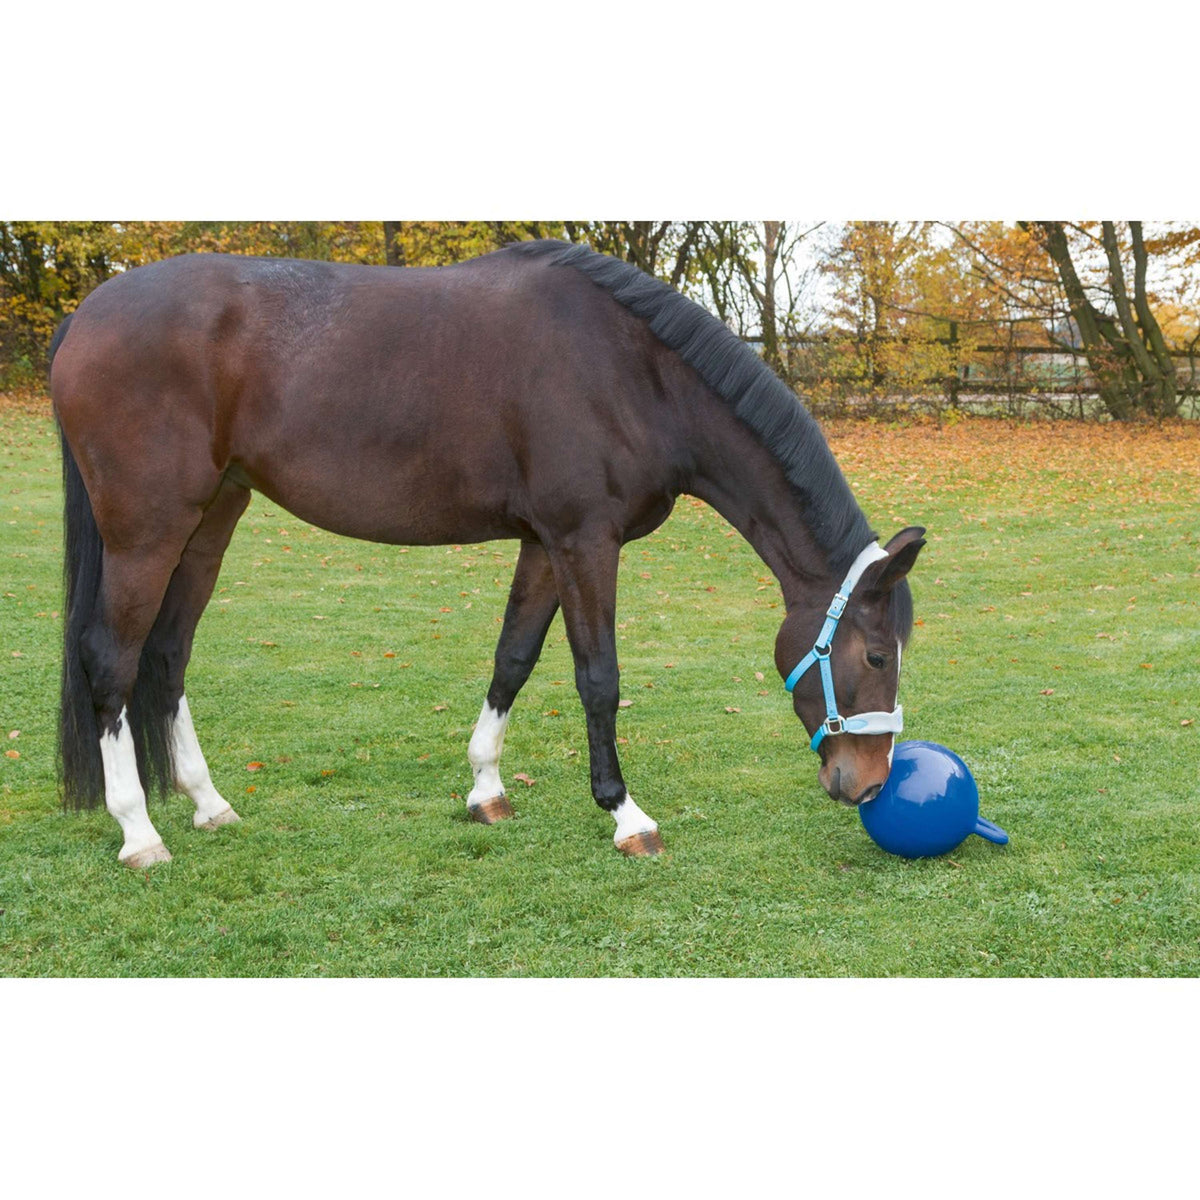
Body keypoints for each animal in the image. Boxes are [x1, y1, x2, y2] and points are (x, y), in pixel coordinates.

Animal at [49, 239, 925, 868]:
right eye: (877, 655)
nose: (869, 783)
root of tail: (88, 314)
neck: (633, 373)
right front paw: (625, 814)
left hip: (210, 521)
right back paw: (139, 832)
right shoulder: (584, 541)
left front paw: (485, 789)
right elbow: (598, 678)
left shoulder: (544, 544)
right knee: (111, 661)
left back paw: (208, 804)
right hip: (147, 530)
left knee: (167, 655)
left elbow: (514, 658)